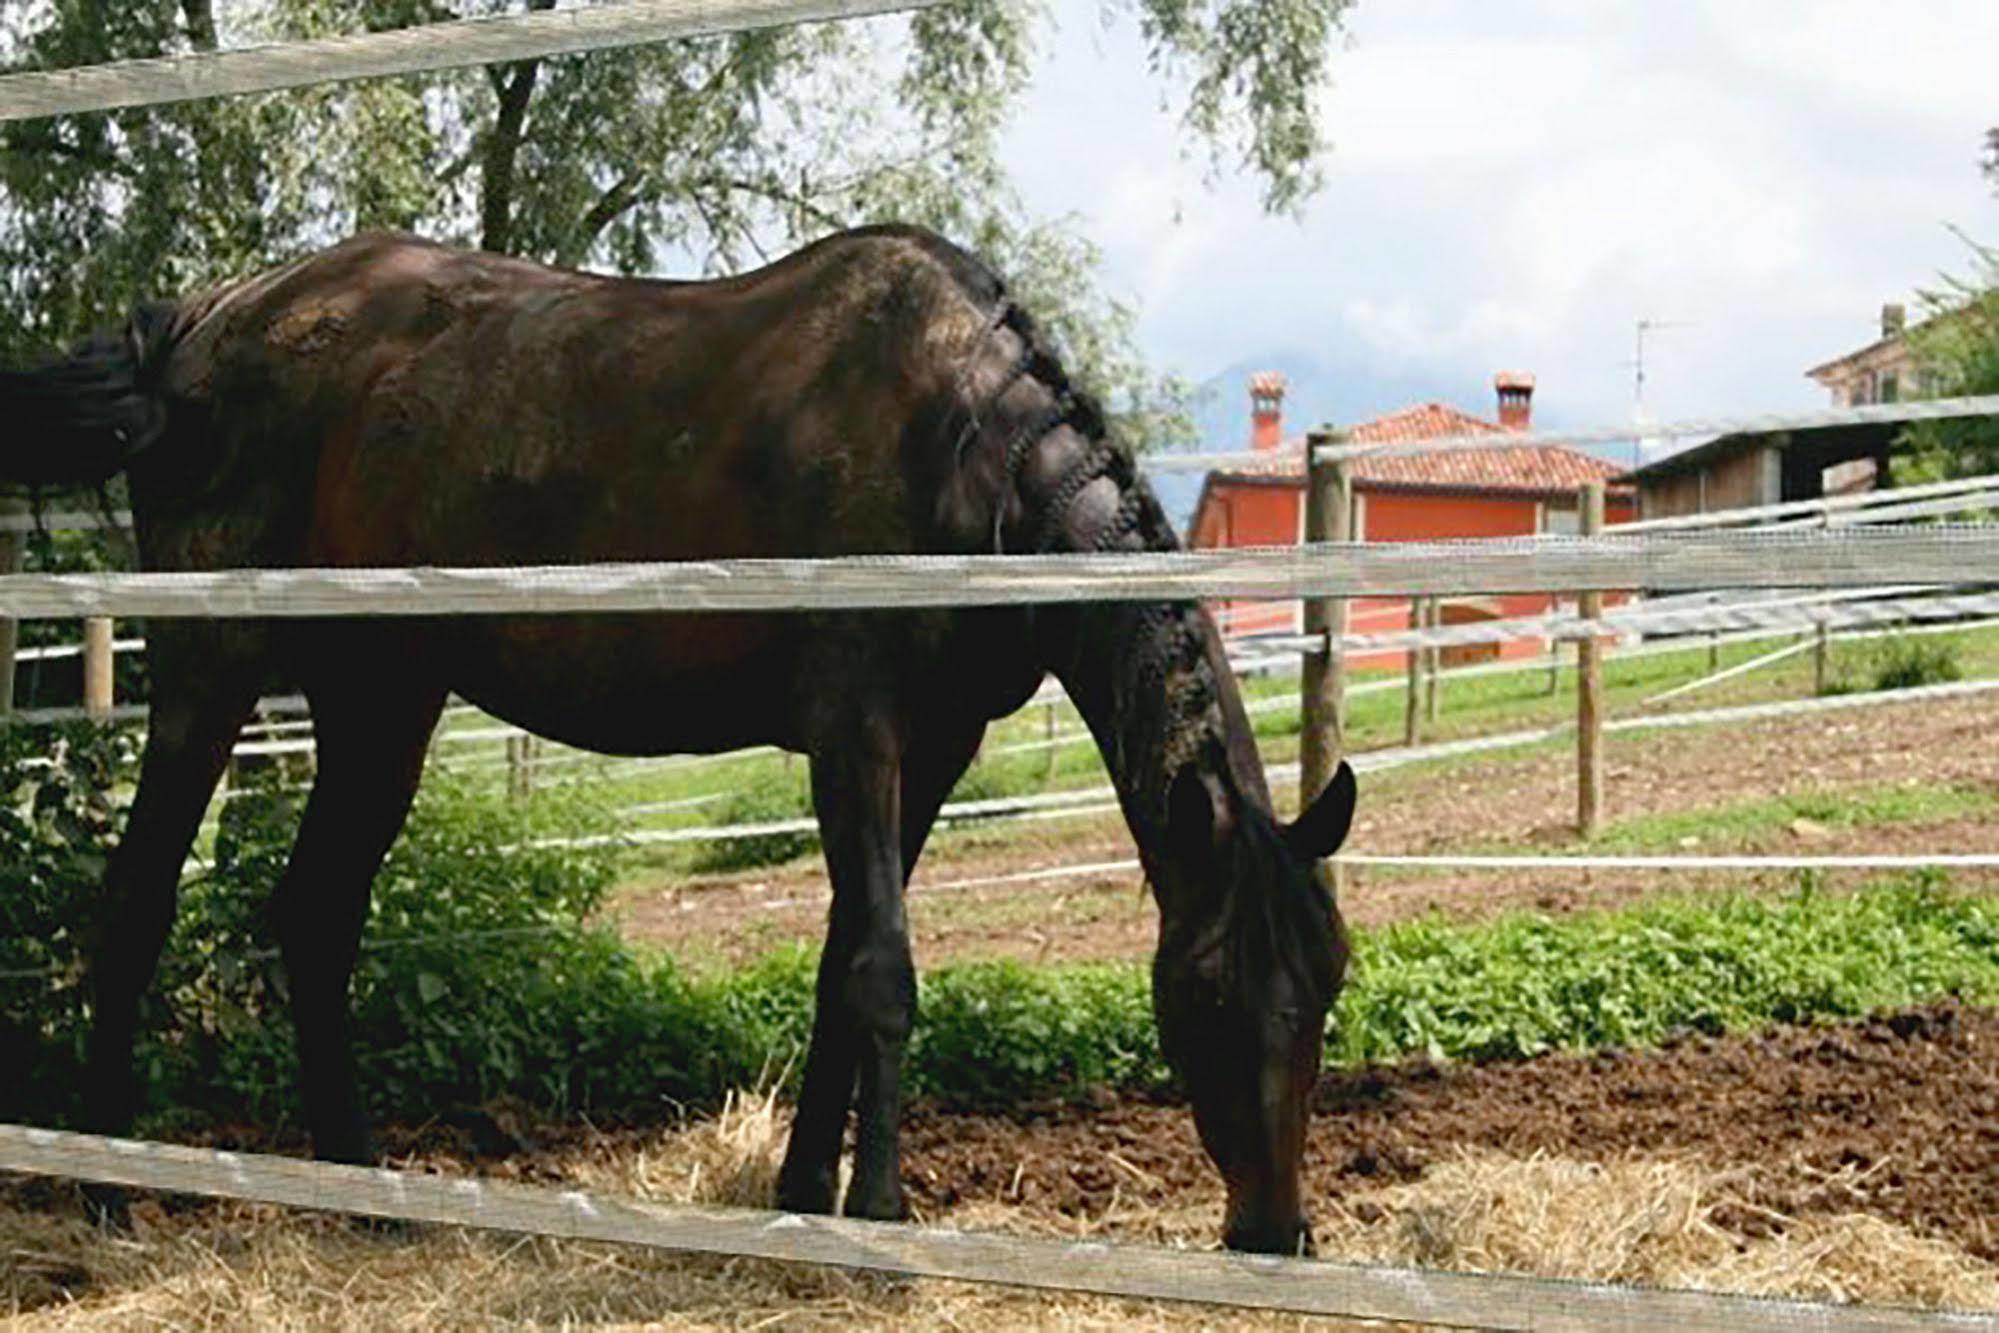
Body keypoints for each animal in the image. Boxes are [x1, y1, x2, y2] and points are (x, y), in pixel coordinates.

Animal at [0, 223, 1359, 1255]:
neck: (963, 450)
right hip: (214, 669)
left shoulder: (932, 751)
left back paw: (365, 1189)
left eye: (1329, 979)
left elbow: (839, 966)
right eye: (1203, 988)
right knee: (137, 902)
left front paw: (807, 1194)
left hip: (381, 698)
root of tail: (191, 329)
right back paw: (111, 1194)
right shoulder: (854, 728)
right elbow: (881, 969)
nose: (1271, 1233)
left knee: (315, 915)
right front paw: (879, 1208)